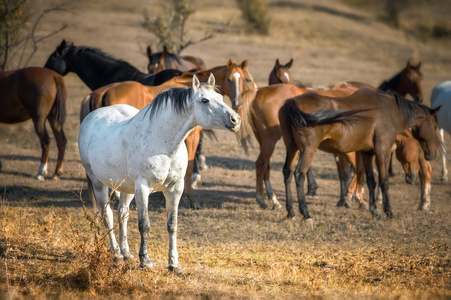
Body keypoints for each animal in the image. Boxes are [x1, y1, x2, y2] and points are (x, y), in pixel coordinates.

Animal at [78, 75, 240, 272]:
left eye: (221, 97)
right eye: (205, 100)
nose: (235, 119)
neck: (163, 144)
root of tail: (91, 116)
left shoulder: (175, 189)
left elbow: (172, 224)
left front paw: (174, 264)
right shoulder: (143, 188)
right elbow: (144, 225)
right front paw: (146, 261)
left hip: (126, 188)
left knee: (122, 213)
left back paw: (126, 253)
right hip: (98, 183)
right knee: (107, 214)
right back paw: (116, 255)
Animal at [278, 88, 442, 221]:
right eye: (435, 126)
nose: (432, 154)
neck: (390, 111)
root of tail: (291, 102)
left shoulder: (367, 153)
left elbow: (371, 181)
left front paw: (375, 211)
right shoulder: (382, 152)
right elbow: (384, 181)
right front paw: (388, 212)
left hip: (292, 149)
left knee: (288, 173)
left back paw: (291, 213)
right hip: (307, 150)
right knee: (299, 175)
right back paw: (306, 214)